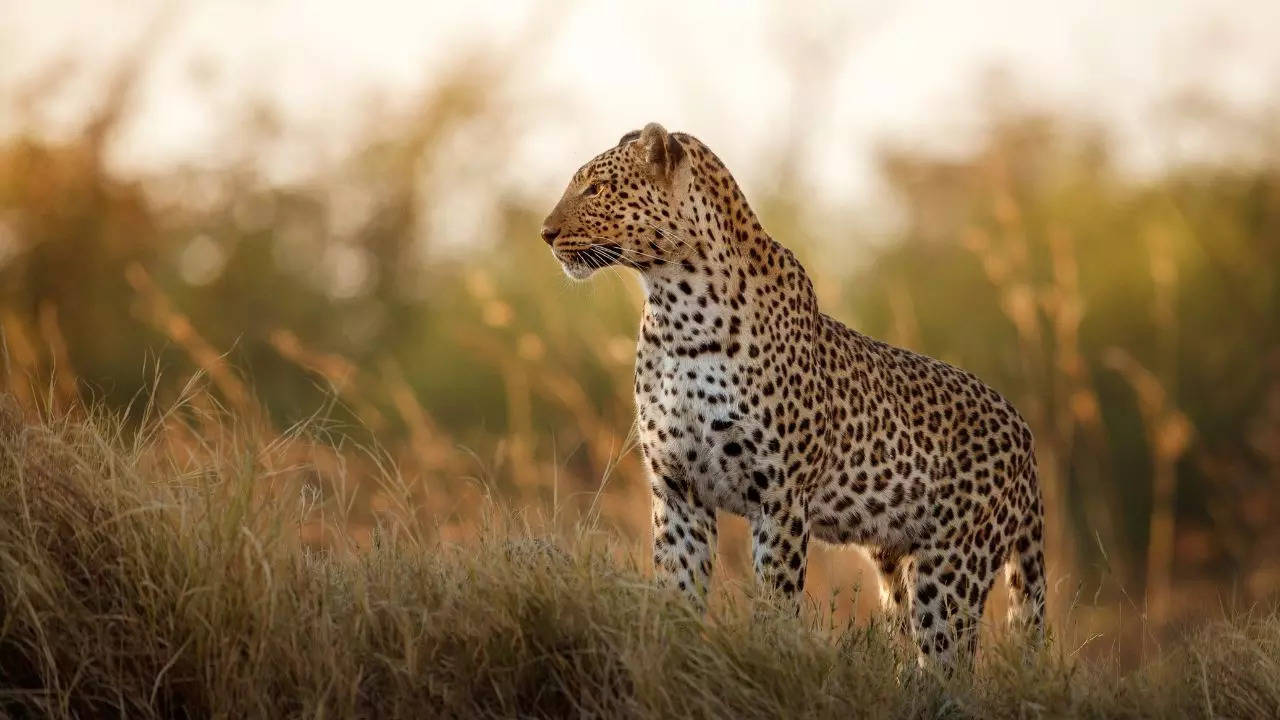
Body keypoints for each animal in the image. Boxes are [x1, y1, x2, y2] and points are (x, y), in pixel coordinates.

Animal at [535, 121, 1044, 661]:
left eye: (596, 189)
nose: (546, 233)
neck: (678, 311)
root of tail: (1023, 430)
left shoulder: (779, 498)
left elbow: (774, 604)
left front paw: (766, 656)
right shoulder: (677, 490)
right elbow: (677, 594)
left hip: (951, 569)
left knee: (950, 661)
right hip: (895, 564)